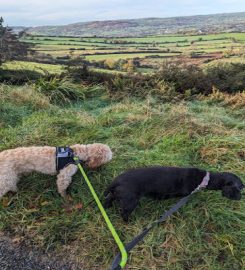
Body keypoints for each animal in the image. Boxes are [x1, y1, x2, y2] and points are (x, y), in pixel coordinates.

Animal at [104, 167, 244, 221]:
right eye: (239, 188)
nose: (240, 199)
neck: (205, 179)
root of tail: (116, 180)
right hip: (130, 202)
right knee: (124, 213)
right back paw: (128, 221)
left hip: (120, 195)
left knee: (110, 197)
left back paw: (107, 206)